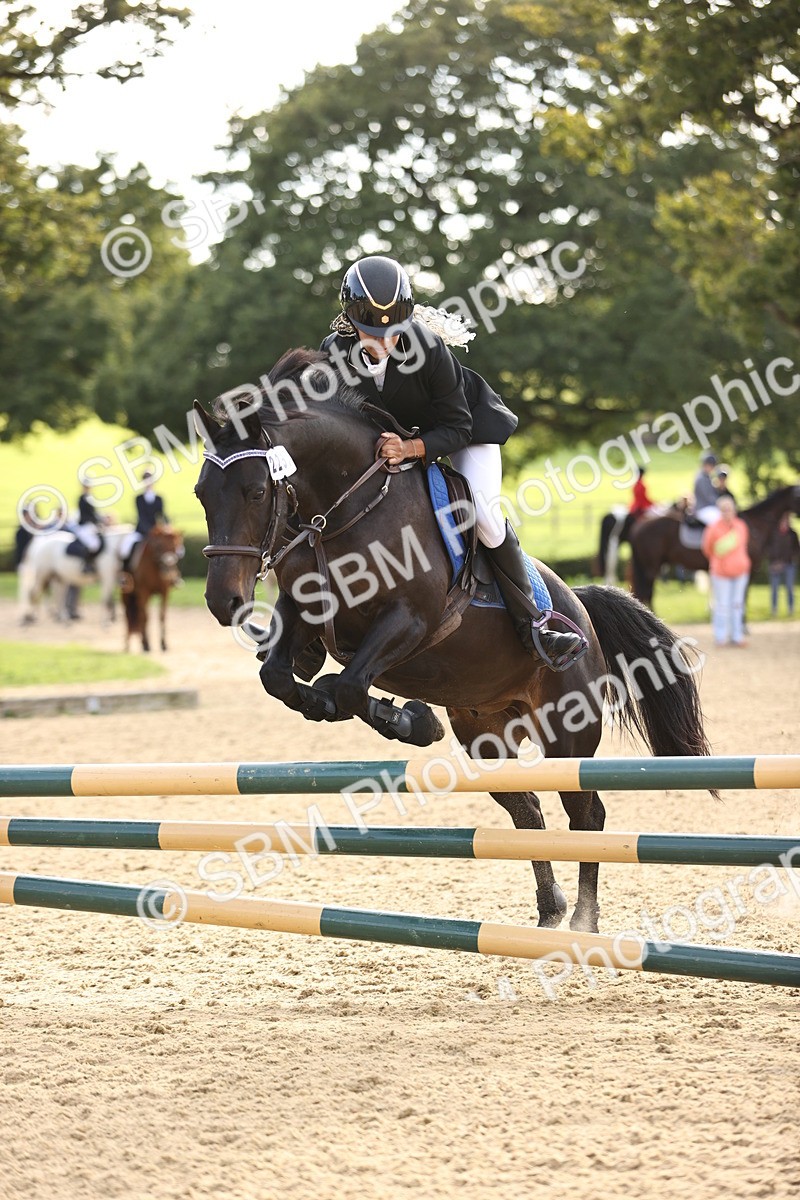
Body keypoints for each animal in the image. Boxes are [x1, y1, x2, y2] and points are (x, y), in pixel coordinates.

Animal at [193, 349, 712, 934]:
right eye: (201, 494)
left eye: (258, 491)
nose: (223, 602)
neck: (345, 511)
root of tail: (577, 607)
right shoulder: (303, 610)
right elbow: (281, 677)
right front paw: (384, 713)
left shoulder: (411, 621)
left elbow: (348, 687)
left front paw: (406, 721)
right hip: (486, 734)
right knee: (527, 809)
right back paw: (550, 910)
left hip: (567, 728)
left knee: (585, 813)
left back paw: (582, 920)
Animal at [629, 486, 800, 607]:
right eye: (798, 496)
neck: (754, 524)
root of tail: (641, 524)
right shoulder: (749, 570)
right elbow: (742, 599)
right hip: (651, 567)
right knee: (647, 592)